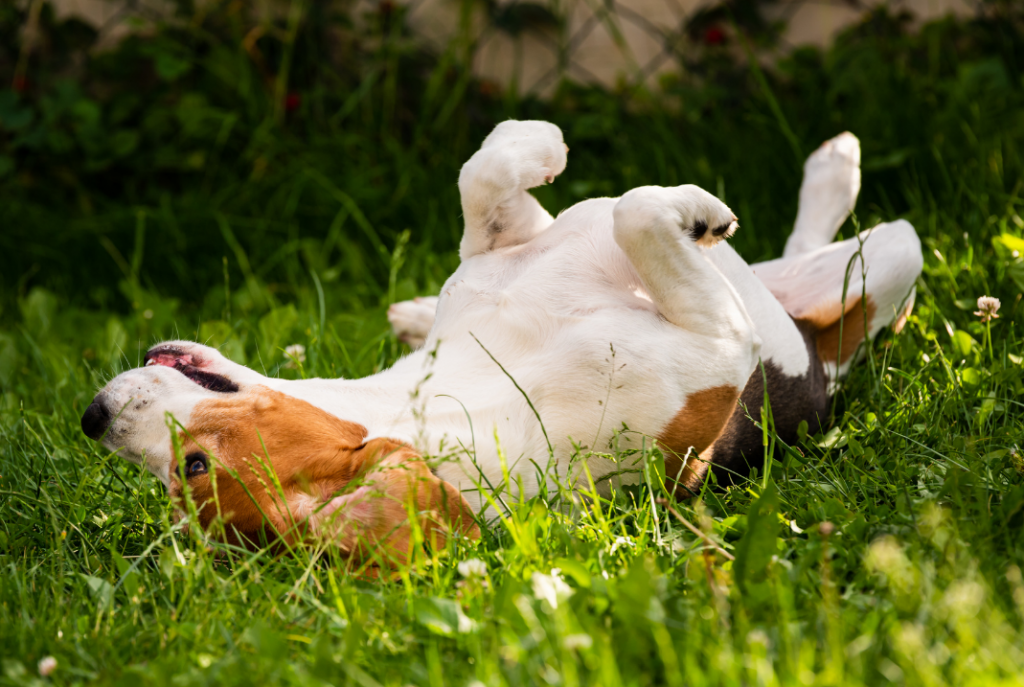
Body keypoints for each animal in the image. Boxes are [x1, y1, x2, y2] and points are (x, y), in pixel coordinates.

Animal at [81, 122, 921, 565]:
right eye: (186, 471)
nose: (93, 417)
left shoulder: (503, 250)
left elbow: (485, 177)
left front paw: (533, 143)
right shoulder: (717, 348)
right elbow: (636, 213)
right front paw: (689, 211)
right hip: (882, 264)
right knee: (862, 271)